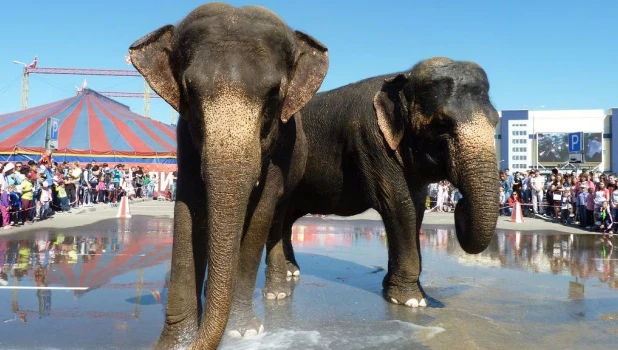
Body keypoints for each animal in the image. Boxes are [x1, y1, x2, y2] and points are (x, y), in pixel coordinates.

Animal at [129, 3, 328, 350]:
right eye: (189, 91)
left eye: (274, 94)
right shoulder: (185, 137)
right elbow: (189, 207)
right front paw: (173, 344)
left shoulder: (282, 147)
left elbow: (261, 213)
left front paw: (242, 331)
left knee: (277, 219)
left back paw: (277, 292)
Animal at [262, 56, 498, 308]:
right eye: (441, 125)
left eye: (496, 121)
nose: (459, 205)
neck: (403, 77)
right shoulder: (372, 139)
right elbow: (400, 205)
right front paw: (411, 301)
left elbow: (415, 207)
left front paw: (398, 291)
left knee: (286, 216)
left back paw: (291, 271)